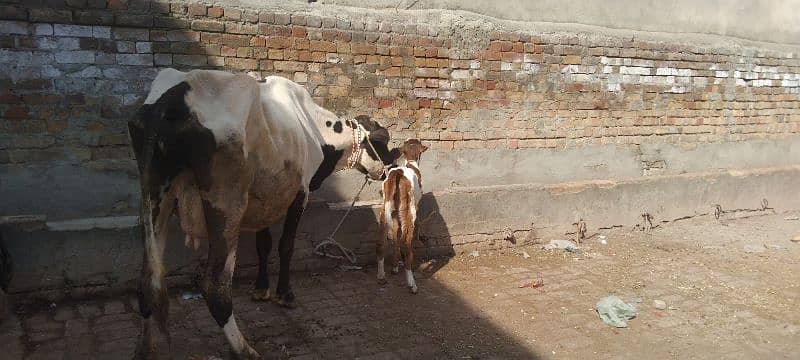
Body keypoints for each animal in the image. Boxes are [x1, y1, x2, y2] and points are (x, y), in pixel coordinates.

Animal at [126, 69, 396, 358]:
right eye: (381, 142)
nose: (386, 169)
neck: (312, 126)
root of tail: (171, 99)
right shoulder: (300, 194)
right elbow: (286, 246)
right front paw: (284, 294)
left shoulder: (265, 200)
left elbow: (263, 245)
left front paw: (261, 288)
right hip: (227, 205)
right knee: (215, 287)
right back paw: (243, 348)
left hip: (154, 197)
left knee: (147, 280)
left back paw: (145, 347)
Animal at [378, 139, 428, 294]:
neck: (410, 163)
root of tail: (397, 173)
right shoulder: (415, 206)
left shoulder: (394, 215)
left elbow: (395, 237)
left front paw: (394, 267)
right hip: (409, 211)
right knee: (406, 244)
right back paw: (412, 284)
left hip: (385, 209)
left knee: (382, 241)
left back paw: (381, 276)